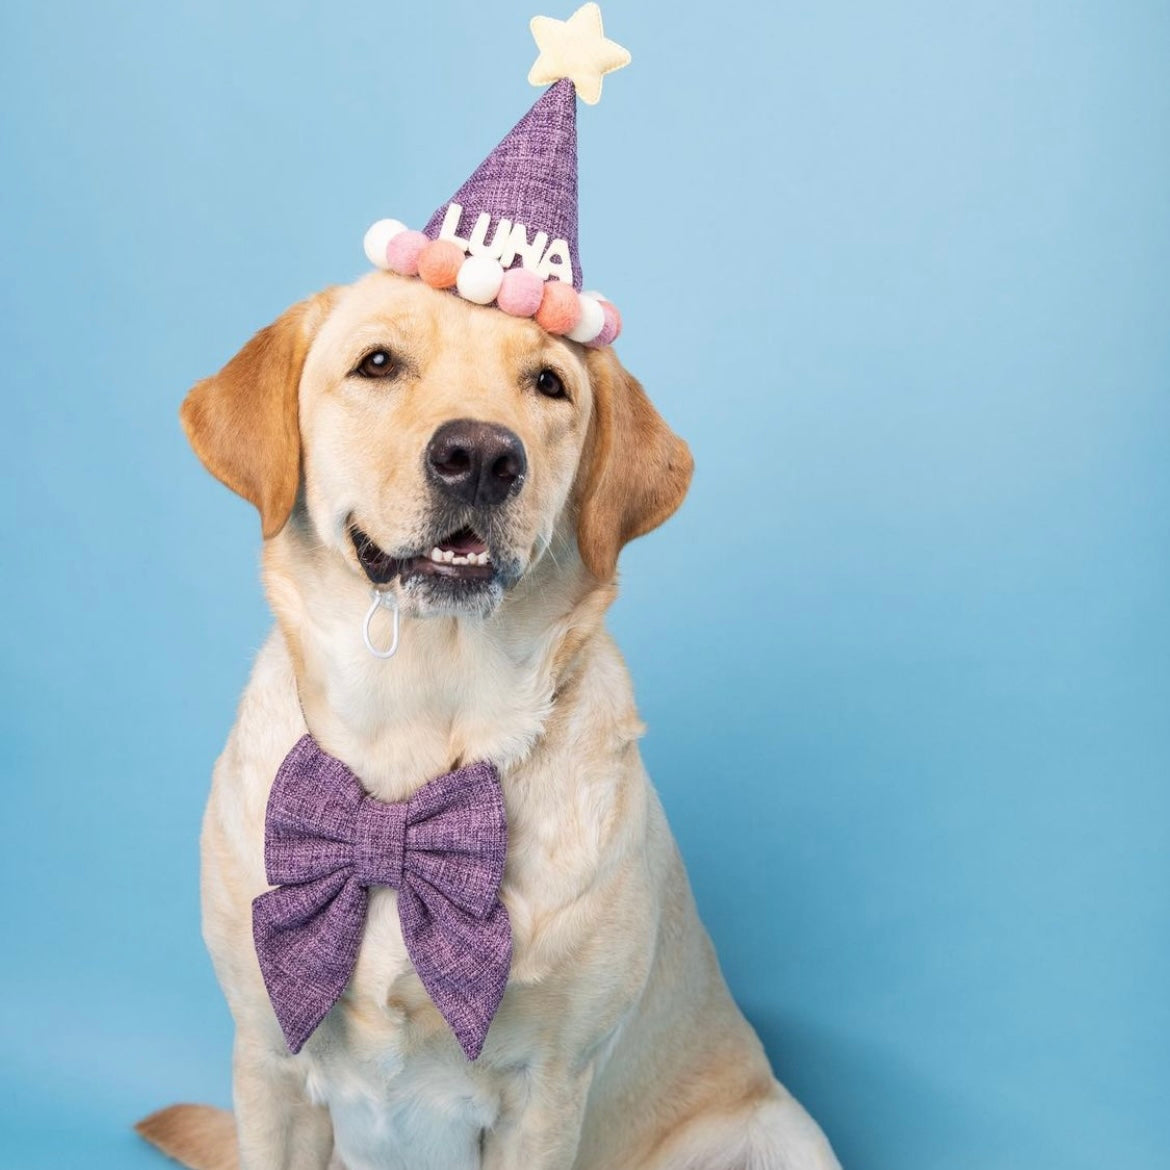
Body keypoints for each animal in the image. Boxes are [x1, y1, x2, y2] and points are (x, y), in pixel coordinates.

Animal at [139, 269, 842, 1165]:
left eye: (548, 383)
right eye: (377, 363)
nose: (480, 455)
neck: (412, 740)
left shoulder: (546, 1092)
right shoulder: (268, 1062)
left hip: (779, 1129)